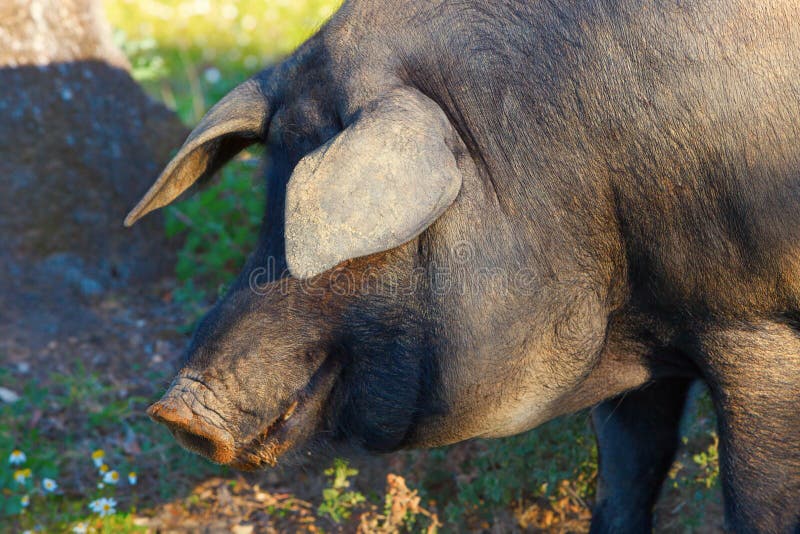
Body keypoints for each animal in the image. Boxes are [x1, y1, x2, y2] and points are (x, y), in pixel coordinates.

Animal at [125, 2, 800, 532]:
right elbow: (627, 478)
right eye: (271, 194)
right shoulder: (644, 356)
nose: (175, 410)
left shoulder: (753, 327)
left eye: (354, 226)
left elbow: (758, 502)